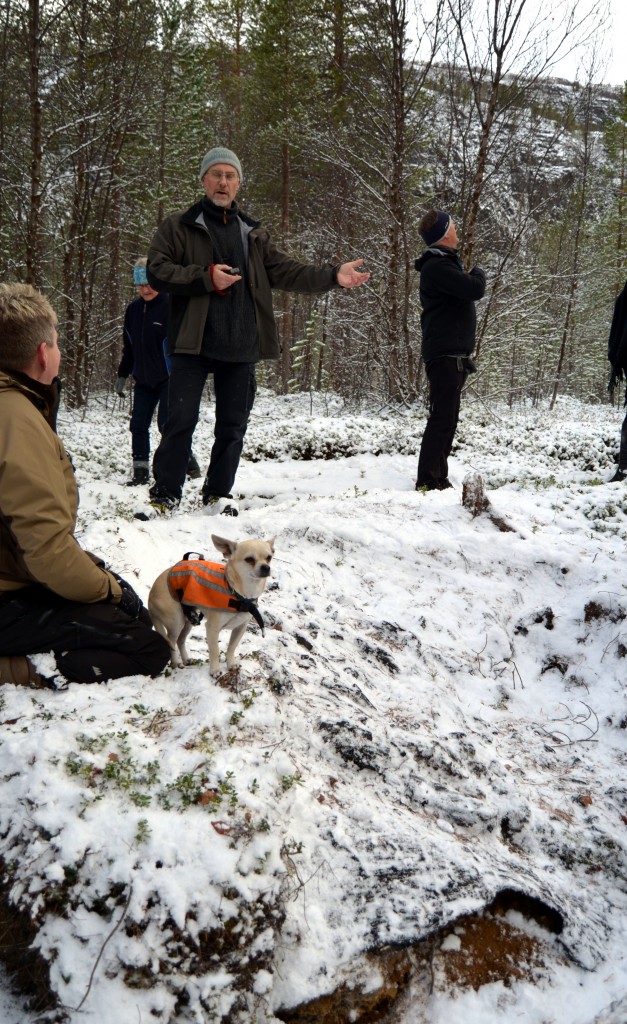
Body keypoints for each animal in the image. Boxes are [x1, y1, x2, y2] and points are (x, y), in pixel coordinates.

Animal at [149, 532, 274, 675]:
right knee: (171, 642)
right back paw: (176, 662)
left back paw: (186, 660)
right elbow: (214, 650)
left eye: (269, 558)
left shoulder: (240, 627)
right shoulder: (212, 629)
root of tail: (150, 597)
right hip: (176, 622)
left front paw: (231, 664)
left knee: (180, 640)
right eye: (249, 559)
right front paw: (215, 670)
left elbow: (232, 647)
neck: (240, 595)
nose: (266, 567)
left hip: (188, 621)